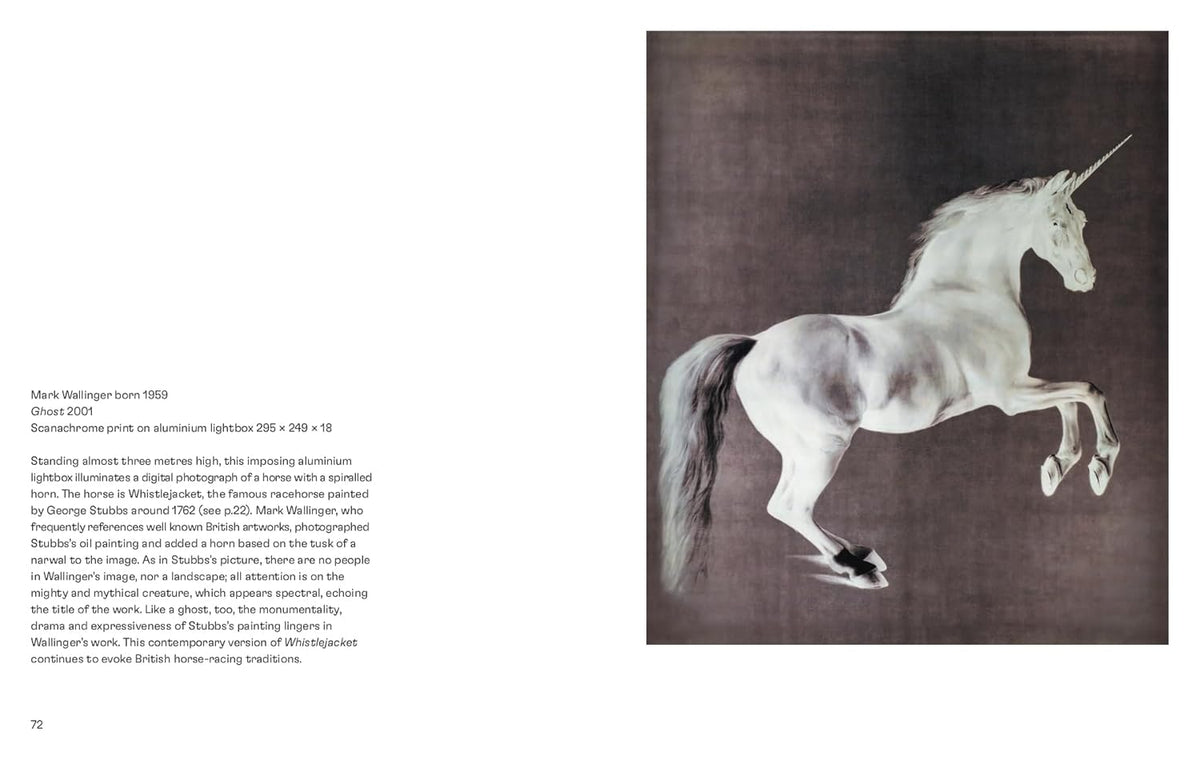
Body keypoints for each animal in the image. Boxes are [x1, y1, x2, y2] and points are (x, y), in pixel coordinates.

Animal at [658, 136, 1130, 592]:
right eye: (1055, 223)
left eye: (1082, 220)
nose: (1085, 278)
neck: (967, 295)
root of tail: (754, 344)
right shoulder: (1010, 395)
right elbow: (1088, 390)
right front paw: (1101, 465)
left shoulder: (1023, 385)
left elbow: (1069, 400)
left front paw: (1057, 468)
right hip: (825, 446)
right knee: (791, 505)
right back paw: (858, 568)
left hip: (797, 448)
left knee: (789, 505)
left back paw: (858, 552)